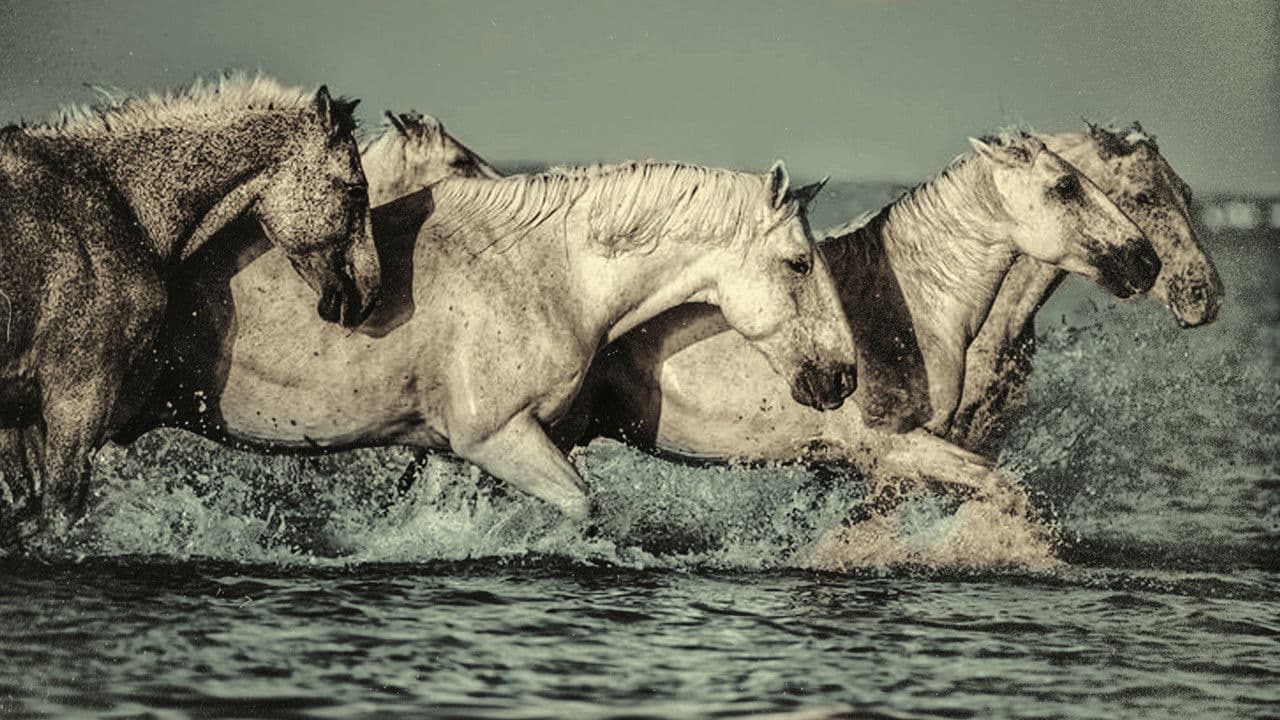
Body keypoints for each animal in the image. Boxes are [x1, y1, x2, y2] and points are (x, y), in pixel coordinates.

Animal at [0, 73, 378, 539]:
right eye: (357, 190)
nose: (369, 293)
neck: (115, 201)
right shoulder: (78, 393)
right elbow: (59, 509)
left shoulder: (18, 412)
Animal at [126, 156, 859, 520]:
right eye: (799, 264)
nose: (843, 376)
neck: (549, 273)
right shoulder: (498, 437)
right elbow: (582, 505)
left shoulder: (449, 448)